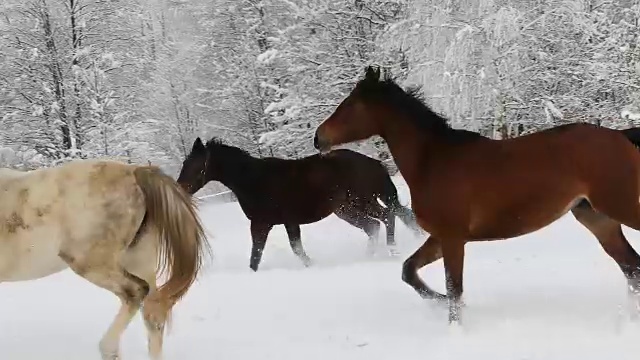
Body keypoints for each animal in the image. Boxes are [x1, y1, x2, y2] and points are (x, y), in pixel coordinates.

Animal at [0, 160, 211, 360]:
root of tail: (135, 171)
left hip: (91, 263)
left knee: (135, 292)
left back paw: (108, 349)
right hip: (138, 260)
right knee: (154, 311)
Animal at [176, 136, 420, 272]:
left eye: (194, 165)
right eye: (184, 163)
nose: (180, 188)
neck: (255, 181)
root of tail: (373, 163)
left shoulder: (268, 223)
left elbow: (270, 253)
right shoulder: (277, 224)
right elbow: (278, 252)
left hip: (362, 202)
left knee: (387, 217)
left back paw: (392, 250)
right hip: (347, 210)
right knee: (375, 225)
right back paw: (368, 256)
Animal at [316, 65, 640, 326]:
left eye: (350, 106)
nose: (318, 138)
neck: (432, 161)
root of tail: (622, 137)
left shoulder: (453, 238)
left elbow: (454, 290)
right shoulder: (442, 237)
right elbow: (410, 271)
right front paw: (438, 302)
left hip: (622, 207)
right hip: (597, 219)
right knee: (632, 268)